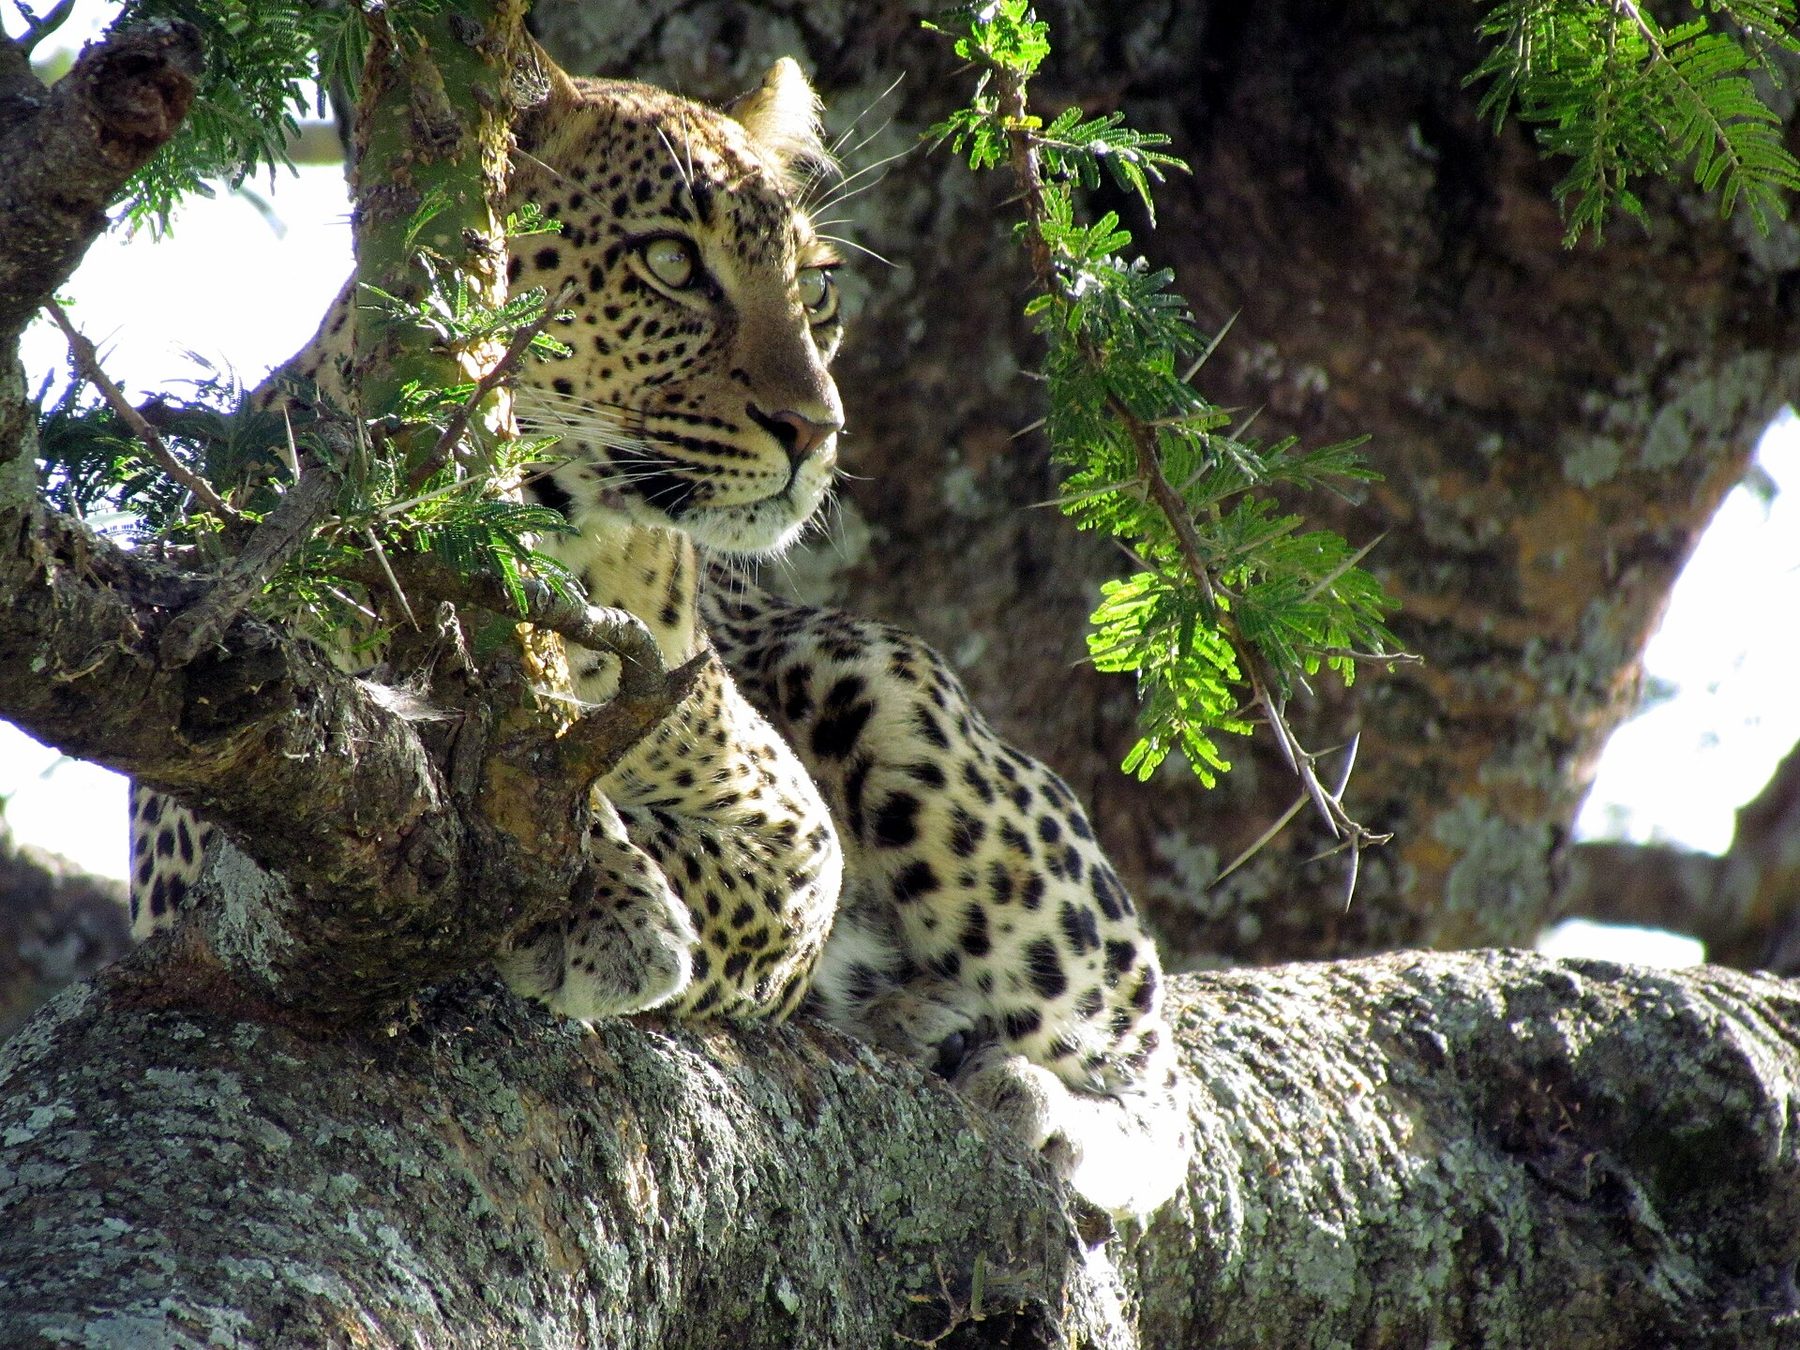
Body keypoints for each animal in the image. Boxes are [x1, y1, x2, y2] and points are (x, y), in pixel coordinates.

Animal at [129, 50, 1191, 1218]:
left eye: (817, 289)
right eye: (672, 263)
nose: (819, 430)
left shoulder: (794, 829)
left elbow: (671, 843)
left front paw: (600, 899)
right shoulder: (214, 763)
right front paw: (599, 888)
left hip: (892, 699)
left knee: (1151, 1062)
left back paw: (1042, 1102)